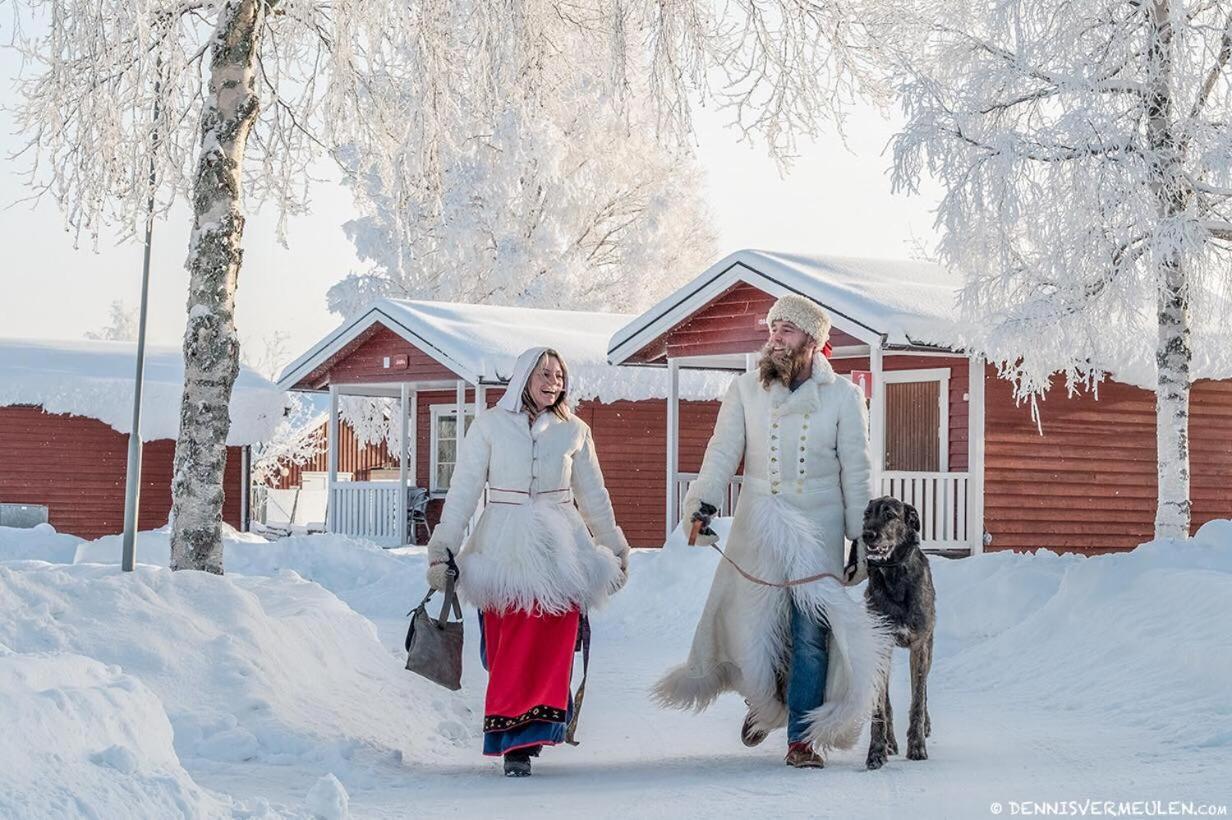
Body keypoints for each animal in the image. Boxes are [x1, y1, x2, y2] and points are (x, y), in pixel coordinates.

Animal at [862, 494, 936, 768]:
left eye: (890, 515)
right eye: (866, 515)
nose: (867, 535)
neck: (894, 576)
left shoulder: (920, 646)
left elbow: (917, 699)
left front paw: (916, 746)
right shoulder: (880, 644)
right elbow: (880, 706)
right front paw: (876, 751)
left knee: (923, 691)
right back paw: (890, 741)